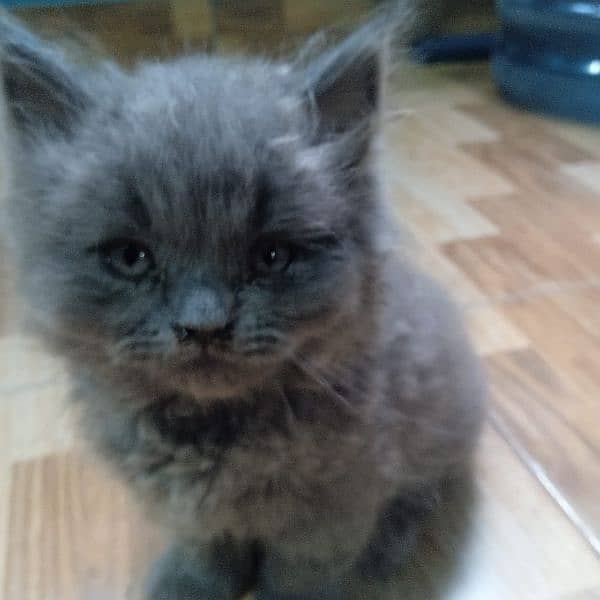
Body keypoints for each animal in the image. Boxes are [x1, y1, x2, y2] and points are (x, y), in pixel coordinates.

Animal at [0, 10, 486, 600]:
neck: (213, 435)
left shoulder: (333, 511)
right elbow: (207, 552)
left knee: (423, 494)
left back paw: (387, 549)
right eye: (131, 257)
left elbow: (299, 574)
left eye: (272, 255)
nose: (204, 325)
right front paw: (190, 585)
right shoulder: (192, 513)